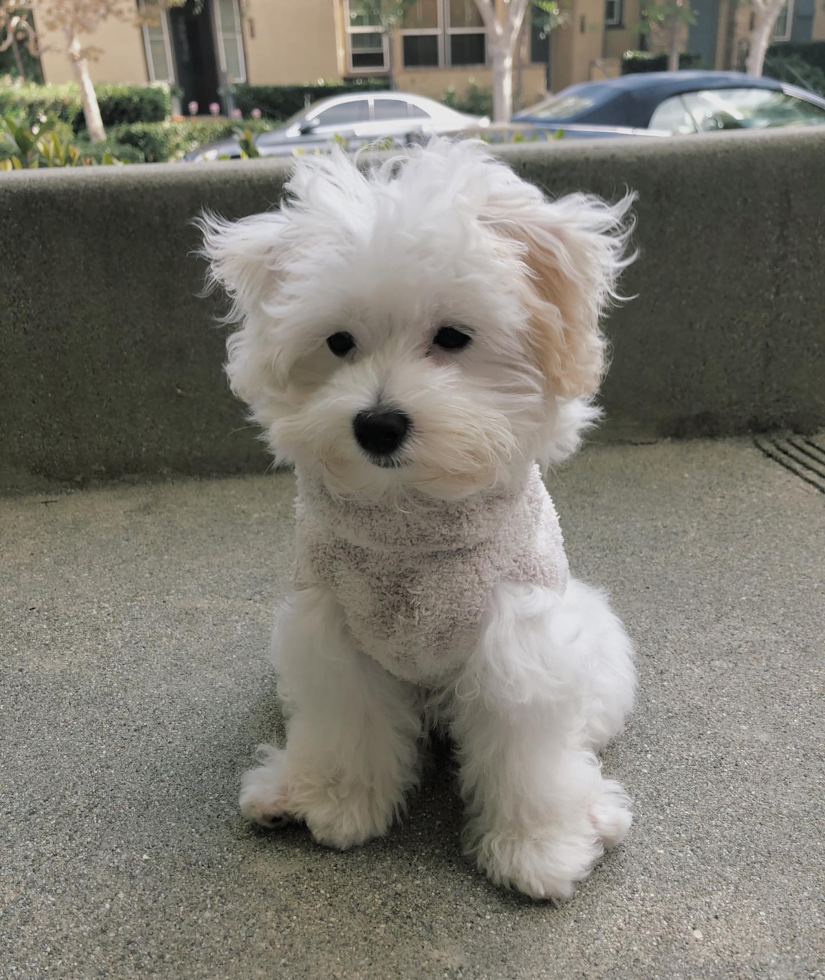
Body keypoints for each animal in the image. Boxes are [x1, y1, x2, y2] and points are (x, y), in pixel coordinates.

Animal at [200, 142, 636, 900]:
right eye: (338, 342)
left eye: (453, 337)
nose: (377, 425)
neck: (412, 527)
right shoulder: (335, 630)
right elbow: (346, 721)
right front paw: (337, 803)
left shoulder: (517, 638)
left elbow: (526, 749)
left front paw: (537, 847)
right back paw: (287, 789)